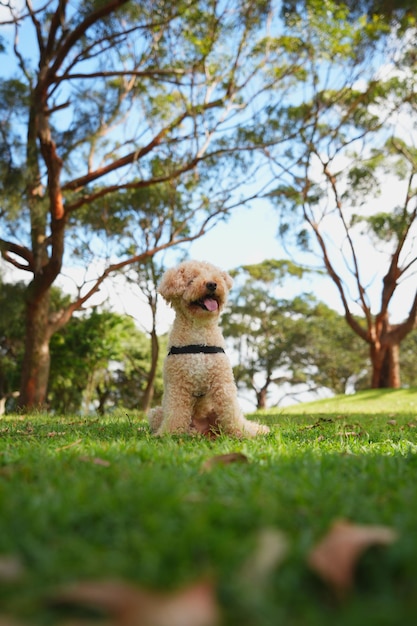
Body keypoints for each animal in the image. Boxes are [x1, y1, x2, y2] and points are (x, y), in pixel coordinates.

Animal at [148, 258, 268, 434]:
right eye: (191, 279)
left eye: (214, 275)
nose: (212, 284)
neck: (199, 331)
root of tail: (204, 430)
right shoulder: (177, 386)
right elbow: (175, 413)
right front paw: (168, 434)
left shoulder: (222, 382)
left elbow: (232, 413)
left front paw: (244, 433)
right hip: (156, 412)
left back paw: (258, 429)